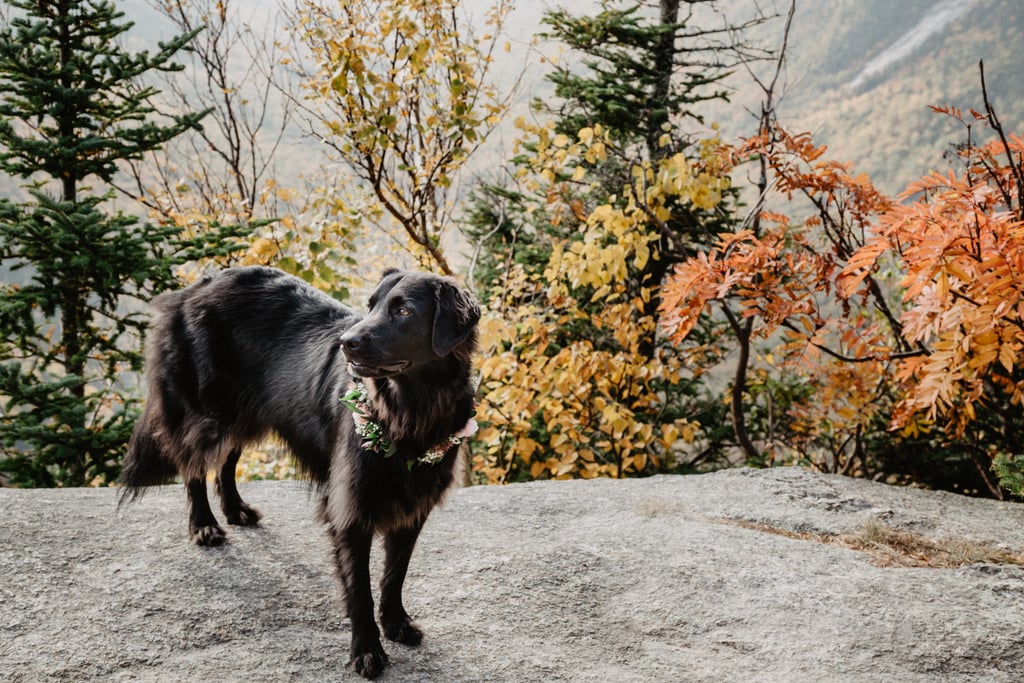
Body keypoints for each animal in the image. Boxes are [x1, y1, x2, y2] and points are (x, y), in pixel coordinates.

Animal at [118, 266, 479, 679]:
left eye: (403, 311)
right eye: (371, 305)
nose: (345, 342)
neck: (410, 412)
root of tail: (198, 285)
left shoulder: (414, 504)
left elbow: (394, 574)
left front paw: (396, 624)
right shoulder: (350, 509)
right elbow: (360, 589)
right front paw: (367, 650)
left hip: (248, 409)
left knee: (227, 460)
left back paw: (236, 510)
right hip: (207, 411)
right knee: (193, 463)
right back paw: (204, 525)